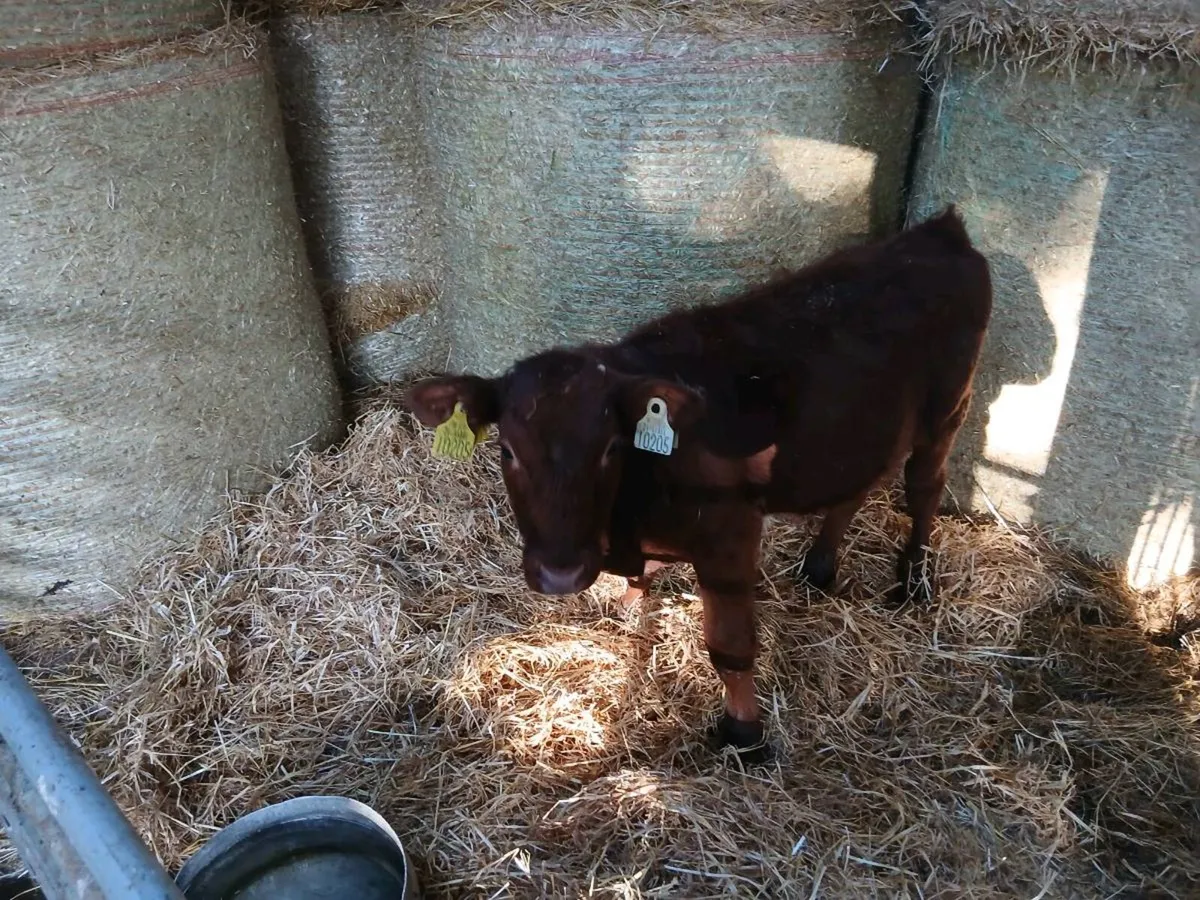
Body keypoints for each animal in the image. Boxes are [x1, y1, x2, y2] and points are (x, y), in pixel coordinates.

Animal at [407, 207, 992, 760]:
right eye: (506, 449)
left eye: (611, 448)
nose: (559, 574)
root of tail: (938, 232)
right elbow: (642, 582)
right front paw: (628, 604)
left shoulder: (730, 533)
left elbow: (730, 650)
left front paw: (744, 733)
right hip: (867, 428)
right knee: (856, 485)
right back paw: (820, 567)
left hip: (949, 408)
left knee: (924, 485)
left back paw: (913, 578)